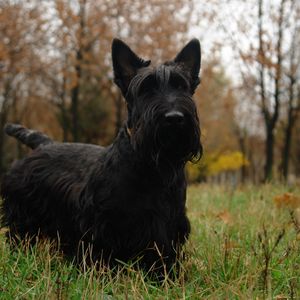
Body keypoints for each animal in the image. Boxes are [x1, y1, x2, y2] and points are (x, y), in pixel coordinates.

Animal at [0, 38, 202, 276]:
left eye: (181, 86)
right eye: (146, 89)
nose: (174, 118)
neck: (152, 167)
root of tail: (45, 143)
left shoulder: (169, 223)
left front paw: (166, 275)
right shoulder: (103, 223)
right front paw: (100, 273)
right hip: (24, 212)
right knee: (19, 234)